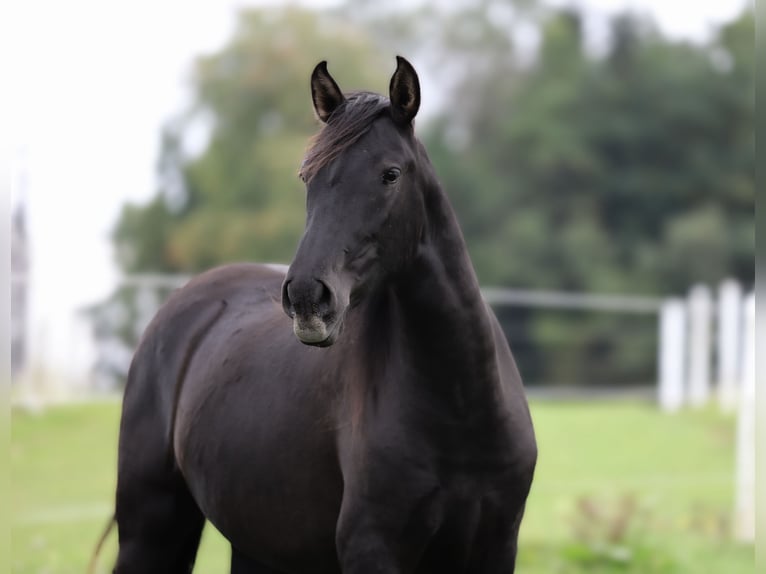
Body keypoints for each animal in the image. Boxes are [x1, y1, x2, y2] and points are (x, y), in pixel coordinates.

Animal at [112, 56, 536, 574]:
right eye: (307, 177)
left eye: (390, 174)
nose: (307, 297)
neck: (459, 408)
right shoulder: (371, 547)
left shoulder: (496, 548)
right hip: (149, 533)